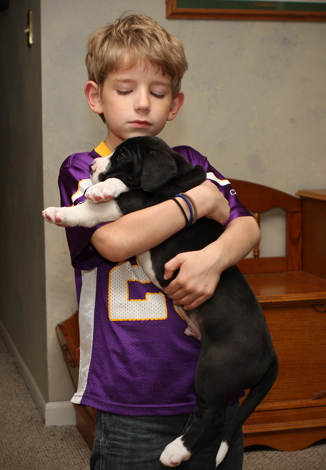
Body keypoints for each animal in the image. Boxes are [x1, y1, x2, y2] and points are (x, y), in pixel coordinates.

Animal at [43, 136, 278, 466]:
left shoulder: (138, 203)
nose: (90, 167)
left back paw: (175, 452)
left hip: (214, 371)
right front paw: (87, 186)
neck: (175, 177)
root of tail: (271, 354)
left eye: (123, 156)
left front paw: (68, 209)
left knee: (212, 417)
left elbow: (102, 202)